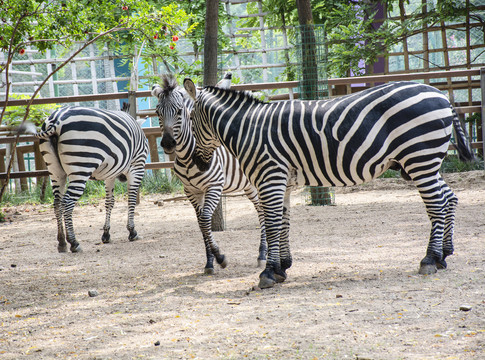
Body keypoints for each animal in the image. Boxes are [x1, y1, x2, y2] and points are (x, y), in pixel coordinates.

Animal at [23, 105, 147, 253]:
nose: (122, 177)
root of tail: (56, 120)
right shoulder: (137, 167)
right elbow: (131, 199)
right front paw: (132, 231)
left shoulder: (110, 174)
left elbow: (109, 202)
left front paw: (106, 234)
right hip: (81, 167)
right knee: (67, 202)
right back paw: (74, 243)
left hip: (55, 171)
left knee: (57, 203)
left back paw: (62, 243)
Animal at [151, 74, 266, 276]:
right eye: (158, 112)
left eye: (179, 111)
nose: (167, 143)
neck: (188, 158)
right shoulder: (191, 191)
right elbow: (201, 224)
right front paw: (210, 262)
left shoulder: (214, 186)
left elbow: (205, 220)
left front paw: (220, 257)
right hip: (248, 185)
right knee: (261, 210)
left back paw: (262, 255)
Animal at [183, 80, 474, 288]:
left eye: (187, 119)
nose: (198, 164)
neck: (249, 130)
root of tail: (441, 95)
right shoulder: (283, 182)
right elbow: (284, 223)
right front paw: (281, 267)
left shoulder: (271, 177)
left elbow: (272, 223)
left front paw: (267, 272)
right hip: (427, 162)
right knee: (449, 198)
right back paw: (444, 254)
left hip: (419, 158)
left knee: (436, 205)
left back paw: (430, 259)